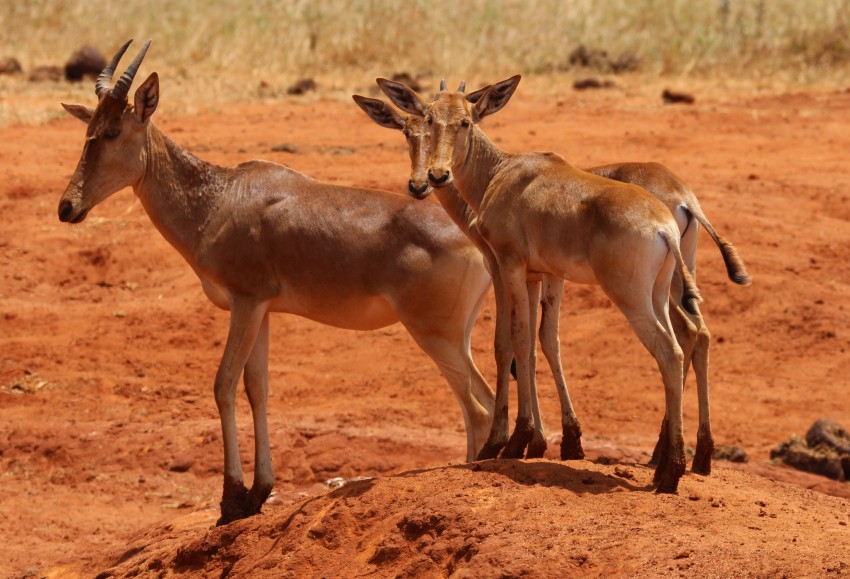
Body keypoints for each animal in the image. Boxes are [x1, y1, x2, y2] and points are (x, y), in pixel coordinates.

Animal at [58, 38, 496, 524]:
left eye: (113, 132)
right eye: (89, 128)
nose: (68, 207)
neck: (221, 197)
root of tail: (473, 237)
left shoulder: (246, 301)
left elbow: (223, 384)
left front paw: (232, 500)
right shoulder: (262, 310)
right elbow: (258, 389)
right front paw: (258, 493)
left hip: (435, 334)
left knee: (479, 408)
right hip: (455, 336)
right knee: (485, 402)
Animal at [352, 82, 748, 476]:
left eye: (465, 121)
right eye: (416, 127)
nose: (429, 179)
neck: (503, 172)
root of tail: (678, 206)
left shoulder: (504, 266)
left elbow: (511, 342)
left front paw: (509, 442)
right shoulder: (541, 275)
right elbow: (538, 343)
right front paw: (554, 443)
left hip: (634, 296)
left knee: (671, 348)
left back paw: (669, 468)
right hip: (668, 288)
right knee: (695, 334)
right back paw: (694, 456)